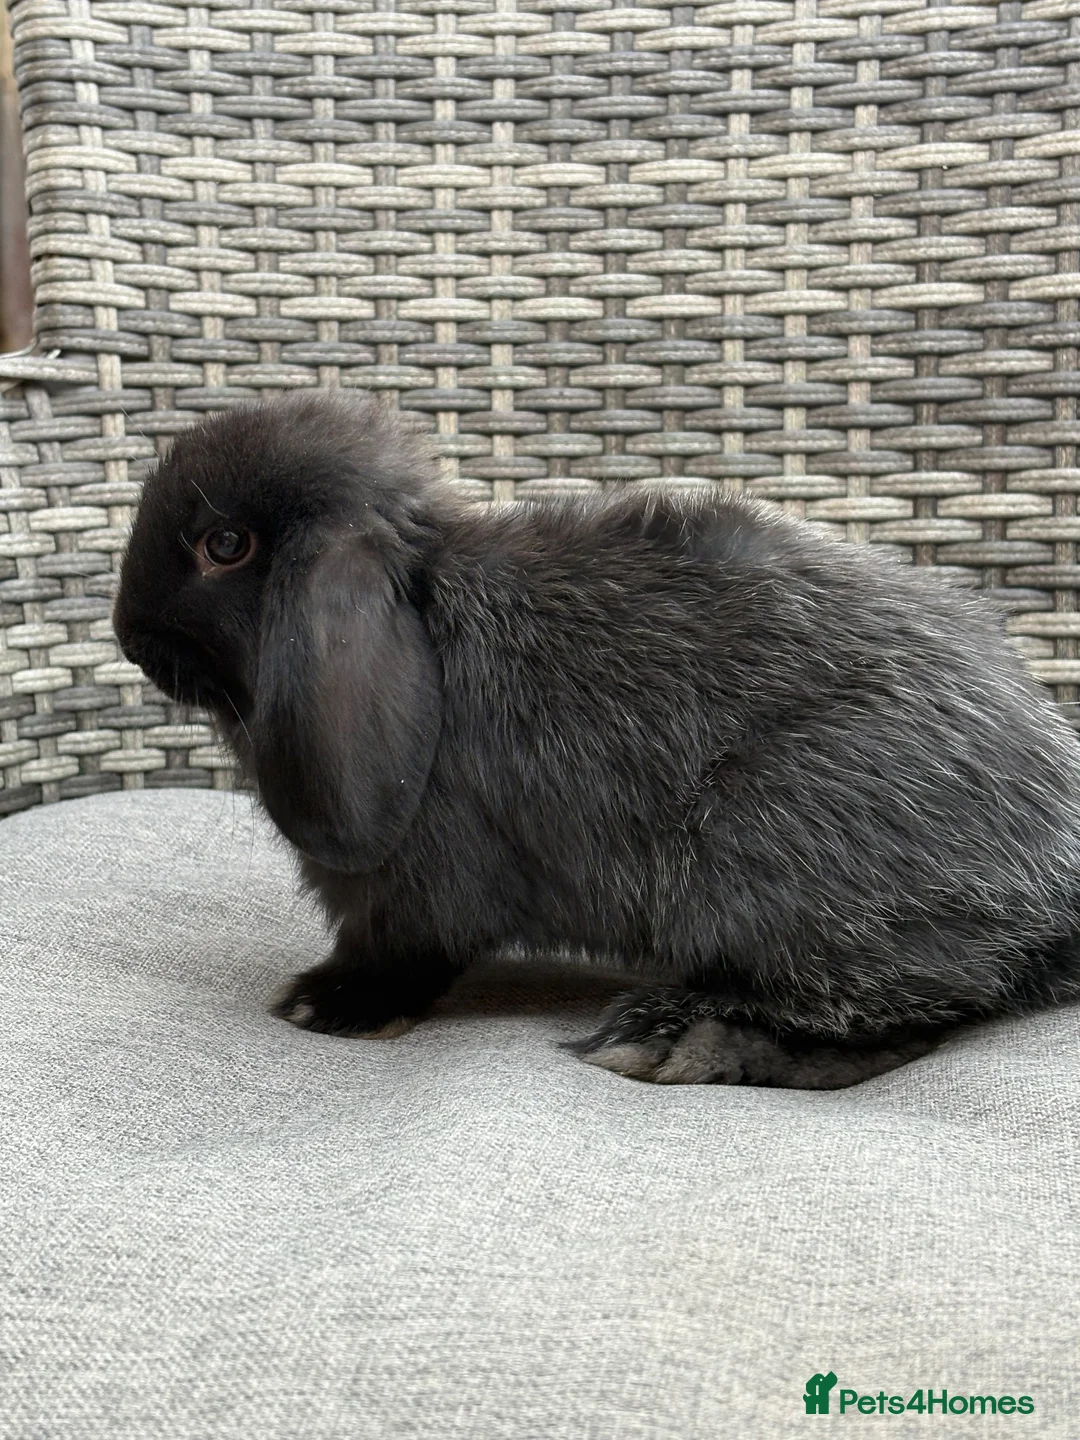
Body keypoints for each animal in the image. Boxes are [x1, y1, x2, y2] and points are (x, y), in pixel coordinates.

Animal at [113, 389, 1080, 1088]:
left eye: (225, 545)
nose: (128, 635)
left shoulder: (410, 892)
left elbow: (402, 952)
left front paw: (328, 1004)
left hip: (769, 859)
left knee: (913, 1014)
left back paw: (672, 1038)